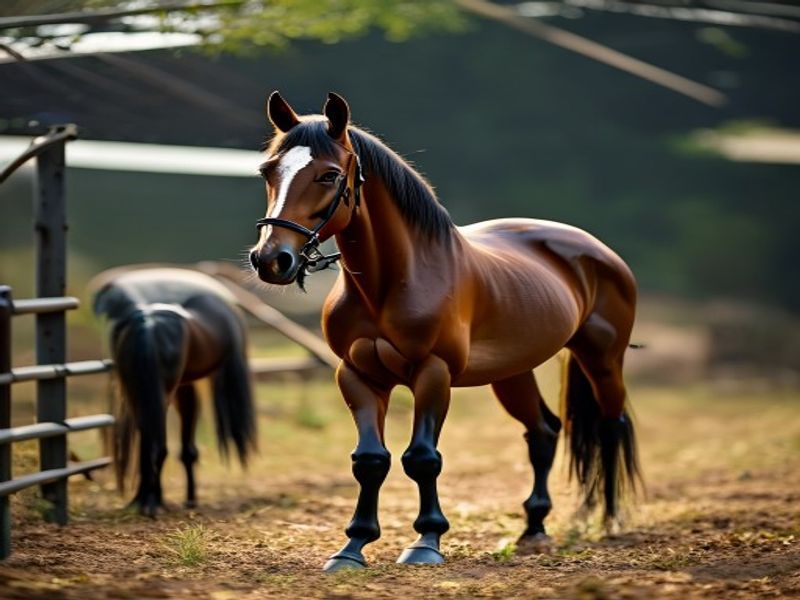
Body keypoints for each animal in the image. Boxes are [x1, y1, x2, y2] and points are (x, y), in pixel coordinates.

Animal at [92, 267, 257, 517]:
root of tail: (147, 324)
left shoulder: (179, 388)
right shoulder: (186, 387)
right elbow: (187, 447)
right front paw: (190, 499)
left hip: (140, 392)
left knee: (149, 438)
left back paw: (144, 500)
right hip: (164, 392)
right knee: (157, 442)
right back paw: (153, 501)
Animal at [248, 92, 641, 571]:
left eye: (329, 175)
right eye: (268, 171)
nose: (271, 260)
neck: (392, 282)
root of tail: (594, 249)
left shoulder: (432, 373)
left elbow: (422, 458)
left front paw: (425, 542)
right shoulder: (357, 376)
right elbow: (370, 460)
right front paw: (353, 547)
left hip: (602, 361)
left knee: (610, 426)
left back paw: (608, 521)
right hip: (513, 373)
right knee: (543, 432)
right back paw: (534, 529)